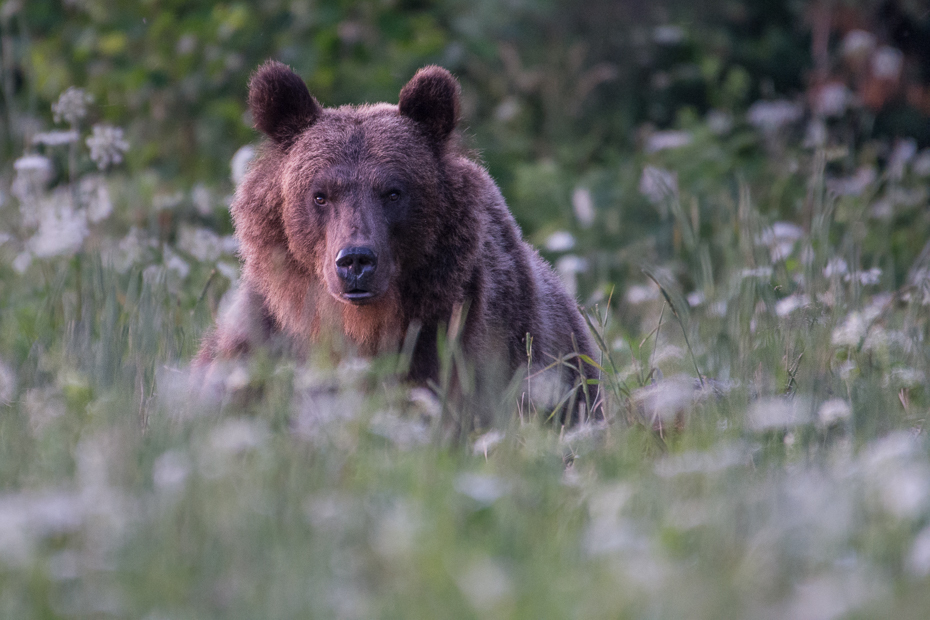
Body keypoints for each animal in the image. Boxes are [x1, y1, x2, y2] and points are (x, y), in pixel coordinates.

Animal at [198, 59, 600, 426]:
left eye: (393, 192)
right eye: (320, 195)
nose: (356, 261)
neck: (361, 326)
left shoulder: (465, 338)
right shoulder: (262, 338)